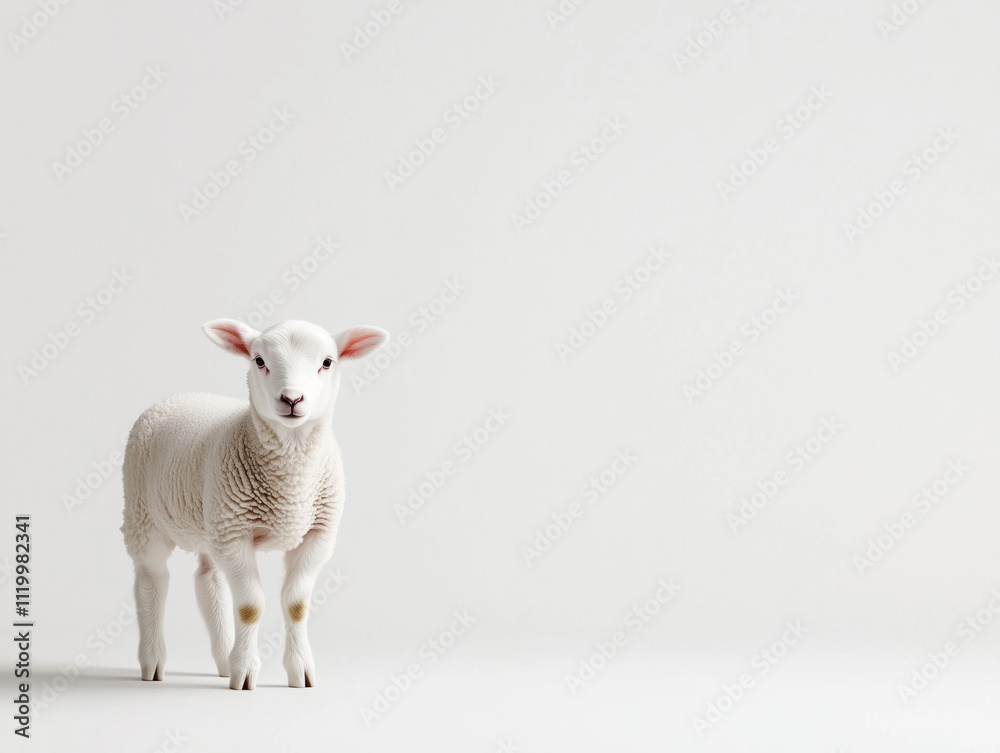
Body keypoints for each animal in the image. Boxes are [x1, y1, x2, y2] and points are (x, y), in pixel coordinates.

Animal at [121, 318, 387, 690]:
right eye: (259, 360)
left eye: (327, 362)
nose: (291, 398)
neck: (291, 481)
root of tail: (180, 396)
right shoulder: (235, 534)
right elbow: (250, 606)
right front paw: (246, 673)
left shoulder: (316, 535)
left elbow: (296, 605)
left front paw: (300, 672)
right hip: (144, 516)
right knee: (151, 581)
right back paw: (153, 662)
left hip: (211, 522)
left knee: (209, 582)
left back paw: (223, 661)